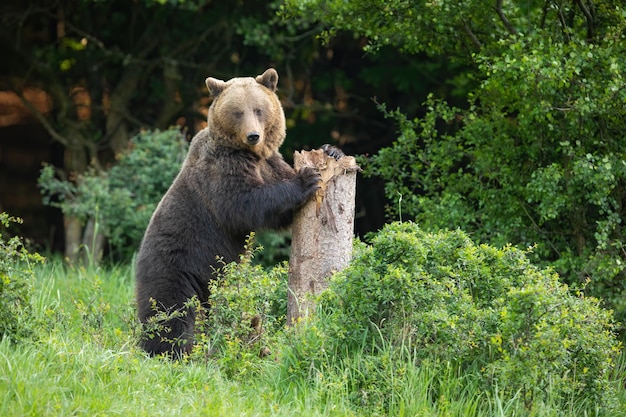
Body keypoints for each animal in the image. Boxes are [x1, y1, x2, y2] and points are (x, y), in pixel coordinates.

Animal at [133, 70, 334, 356]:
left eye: (259, 109)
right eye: (238, 112)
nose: (253, 136)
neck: (250, 155)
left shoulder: (270, 163)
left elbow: (280, 211)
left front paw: (331, 150)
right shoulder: (220, 169)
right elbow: (244, 203)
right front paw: (307, 179)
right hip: (174, 266)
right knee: (170, 311)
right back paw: (169, 351)